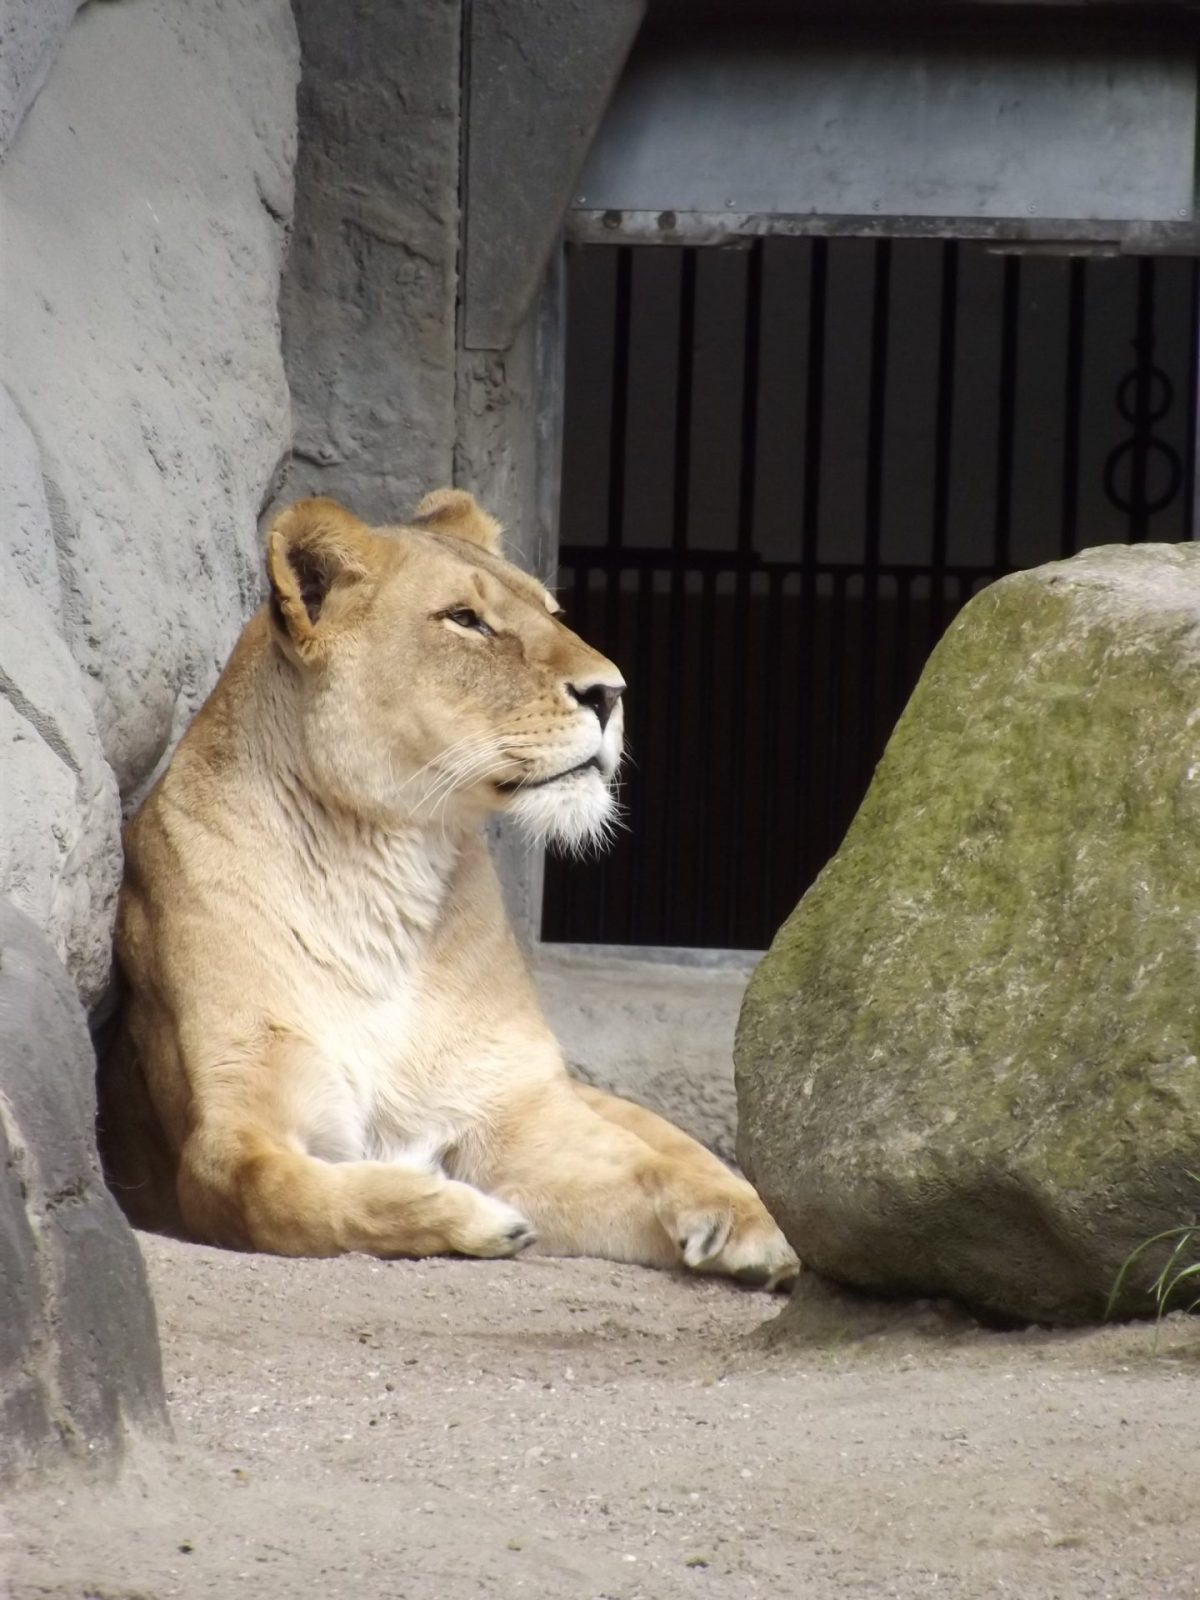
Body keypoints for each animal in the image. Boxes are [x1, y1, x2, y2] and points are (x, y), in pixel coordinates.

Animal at [97, 490, 799, 1290]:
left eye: (551, 611)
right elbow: (282, 1193)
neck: (381, 870)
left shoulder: (511, 1117)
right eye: (465, 620)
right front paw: (468, 1215)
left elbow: (640, 1172)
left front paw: (741, 1226)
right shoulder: (228, 1131)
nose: (612, 692)